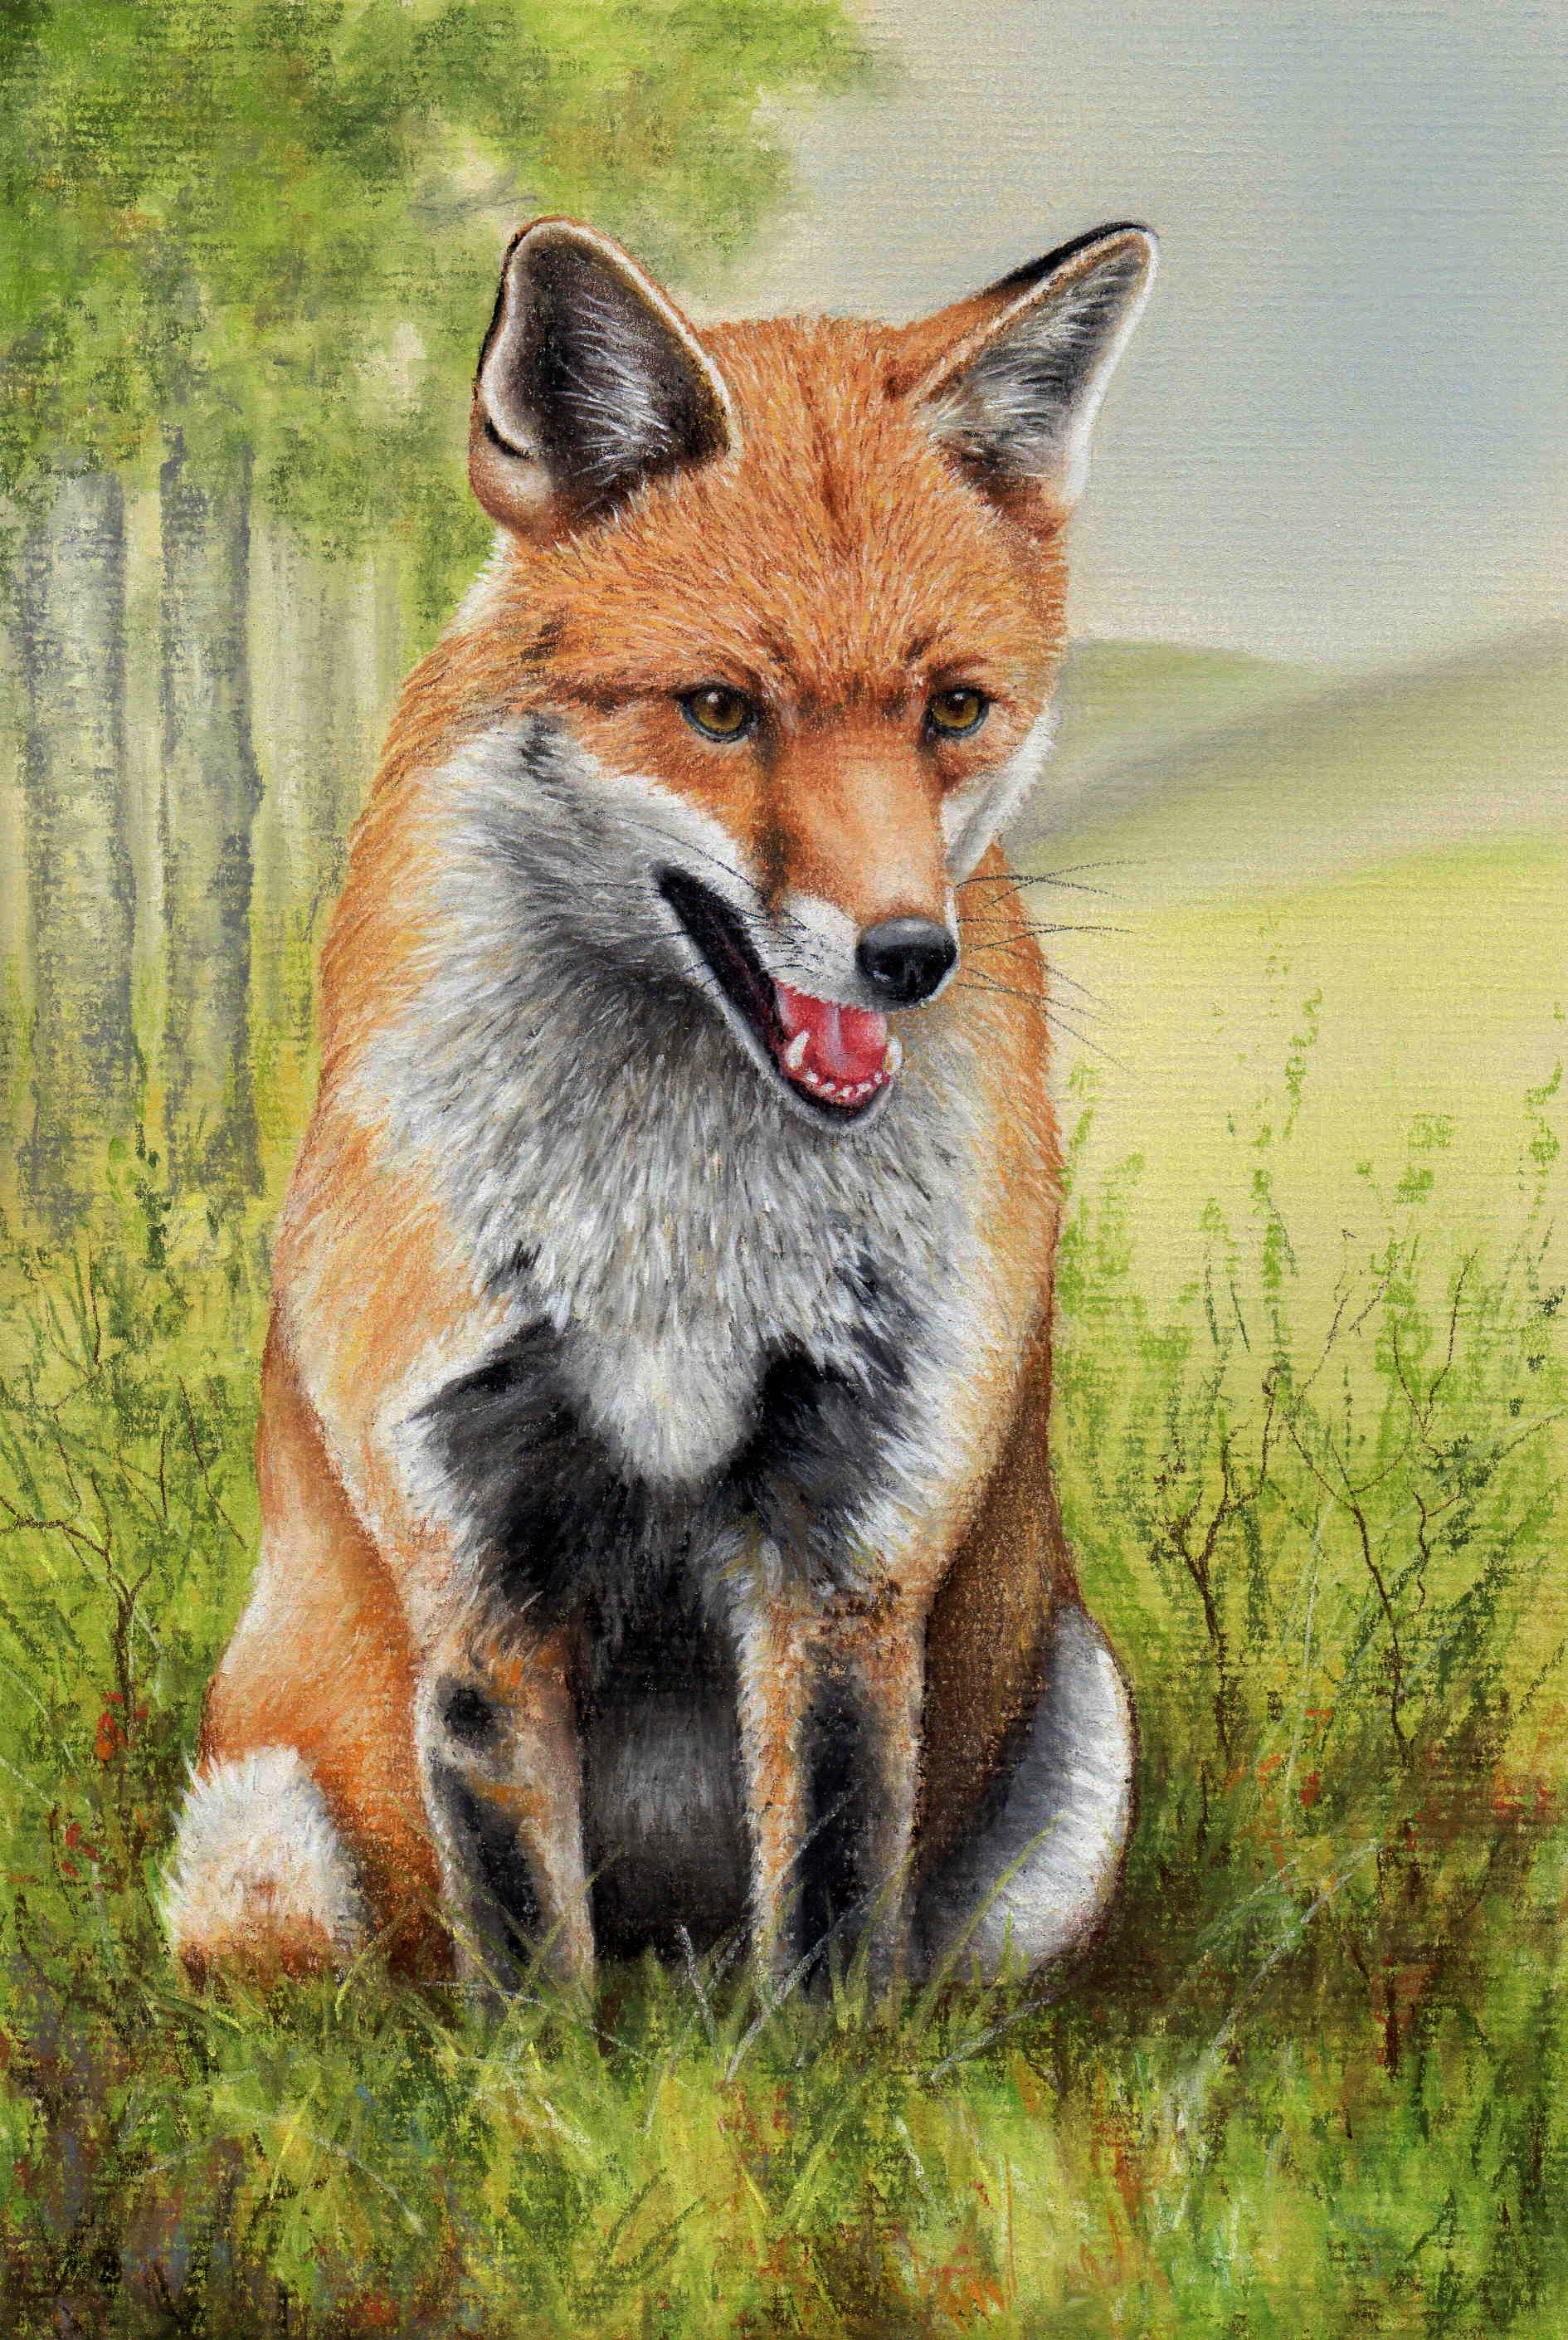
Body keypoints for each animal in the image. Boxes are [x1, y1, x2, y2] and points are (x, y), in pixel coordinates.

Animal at [165, 214, 1157, 1994]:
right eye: (719, 710)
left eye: (953, 711)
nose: (907, 957)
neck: (678, 1243)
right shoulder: (474, 1553)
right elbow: (525, 1957)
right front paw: (539, 2074)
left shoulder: (852, 1545)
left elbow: (830, 1921)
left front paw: (809, 2079)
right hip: (263, 1853)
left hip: (1069, 1780)